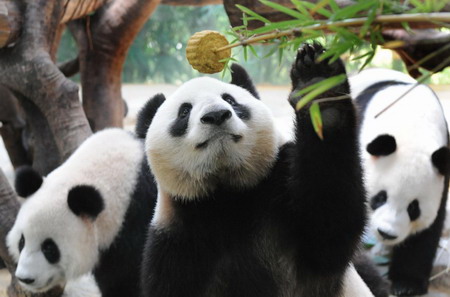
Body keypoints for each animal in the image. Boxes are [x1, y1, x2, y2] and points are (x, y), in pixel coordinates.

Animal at [138, 42, 380, 296]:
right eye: (184, 112)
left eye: (231, 100)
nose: (216, 115)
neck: (228, 195)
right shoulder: (177, 242)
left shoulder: (280, 193)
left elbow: (330, 222)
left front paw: (319, 89)